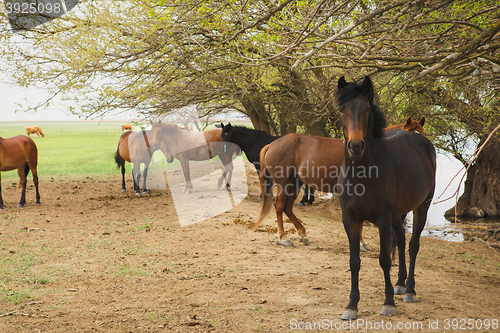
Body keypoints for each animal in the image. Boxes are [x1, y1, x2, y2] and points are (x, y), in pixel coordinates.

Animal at [256, 116, 424, 246]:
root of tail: (273, 144)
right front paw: (361, 242)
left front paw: (362, 242)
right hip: (284, 183)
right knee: (279, 206)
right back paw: (283, 237)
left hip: (296, 182)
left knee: (288, 208)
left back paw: (303, 234)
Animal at [336, 75, 438, 320]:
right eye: (342, 109)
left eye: (366, 109)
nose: (355, 146)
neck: (363, 173)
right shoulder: (350, 220)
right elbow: (354, 261)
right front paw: (351, 305)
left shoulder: (382, 219)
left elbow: (383, 259)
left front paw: (389, 302)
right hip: (397, 215)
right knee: (400, 240)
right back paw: (401, 284)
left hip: (421, 207)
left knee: (413, 244)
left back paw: (409, 290)